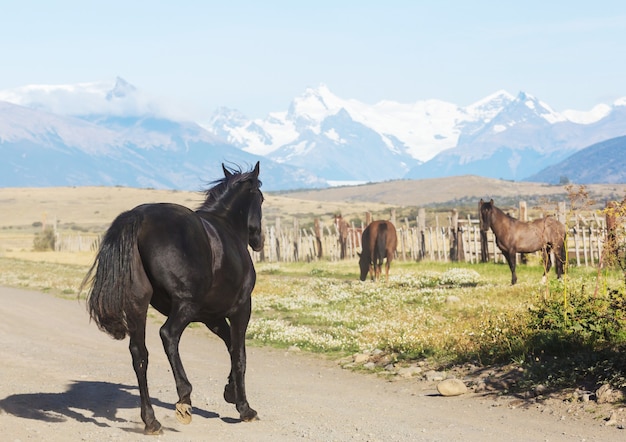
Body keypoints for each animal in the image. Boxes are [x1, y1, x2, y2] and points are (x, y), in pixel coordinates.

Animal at [81, 161, 264, 432]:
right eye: (261, 198)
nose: (259, 240)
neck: (227, 228)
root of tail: (139, 216)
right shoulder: (241, 308)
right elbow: (239, 354)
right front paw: (244, 408)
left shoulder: (211, 317)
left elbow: (230, 345)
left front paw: (230, 391)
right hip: (185, 305)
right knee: (168, 335)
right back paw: (184, 398)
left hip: (139, 304)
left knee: (139, 353)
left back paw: (151, 420)